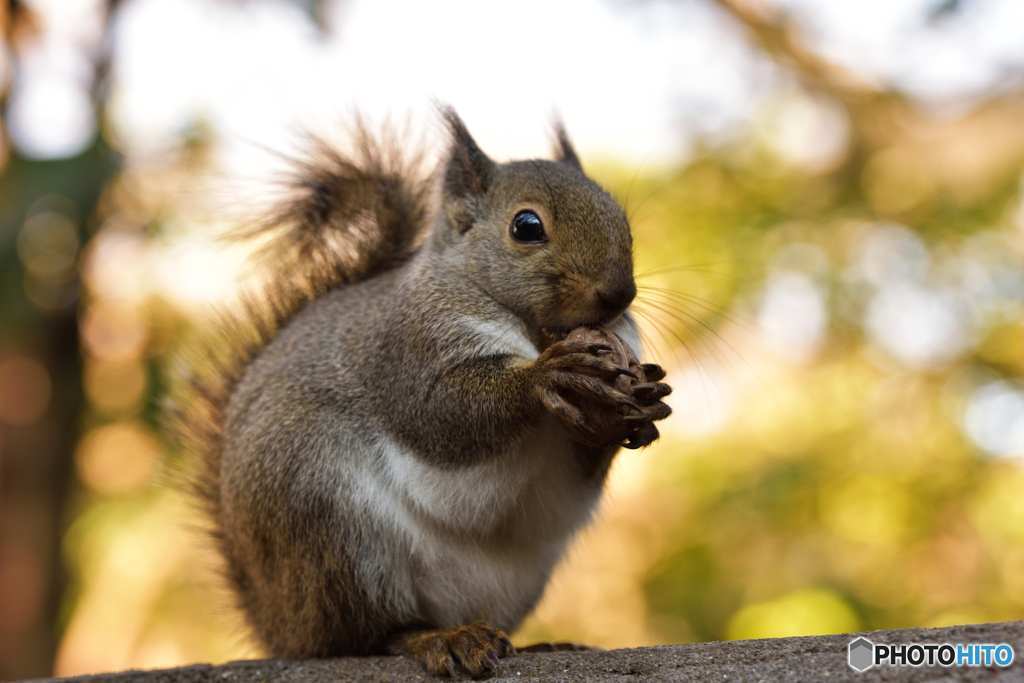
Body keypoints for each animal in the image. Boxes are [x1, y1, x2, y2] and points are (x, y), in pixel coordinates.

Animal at [176, 108, 671, 679]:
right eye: (526, 227)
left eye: (620, 217)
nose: (620, 295)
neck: (538, 331)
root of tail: (277, 624)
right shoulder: (408, 350)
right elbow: (442, 412)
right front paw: (545, 378)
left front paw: (640, 408)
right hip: (327, 518)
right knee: (369, 635)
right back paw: (441, 639)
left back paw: (530, 645)